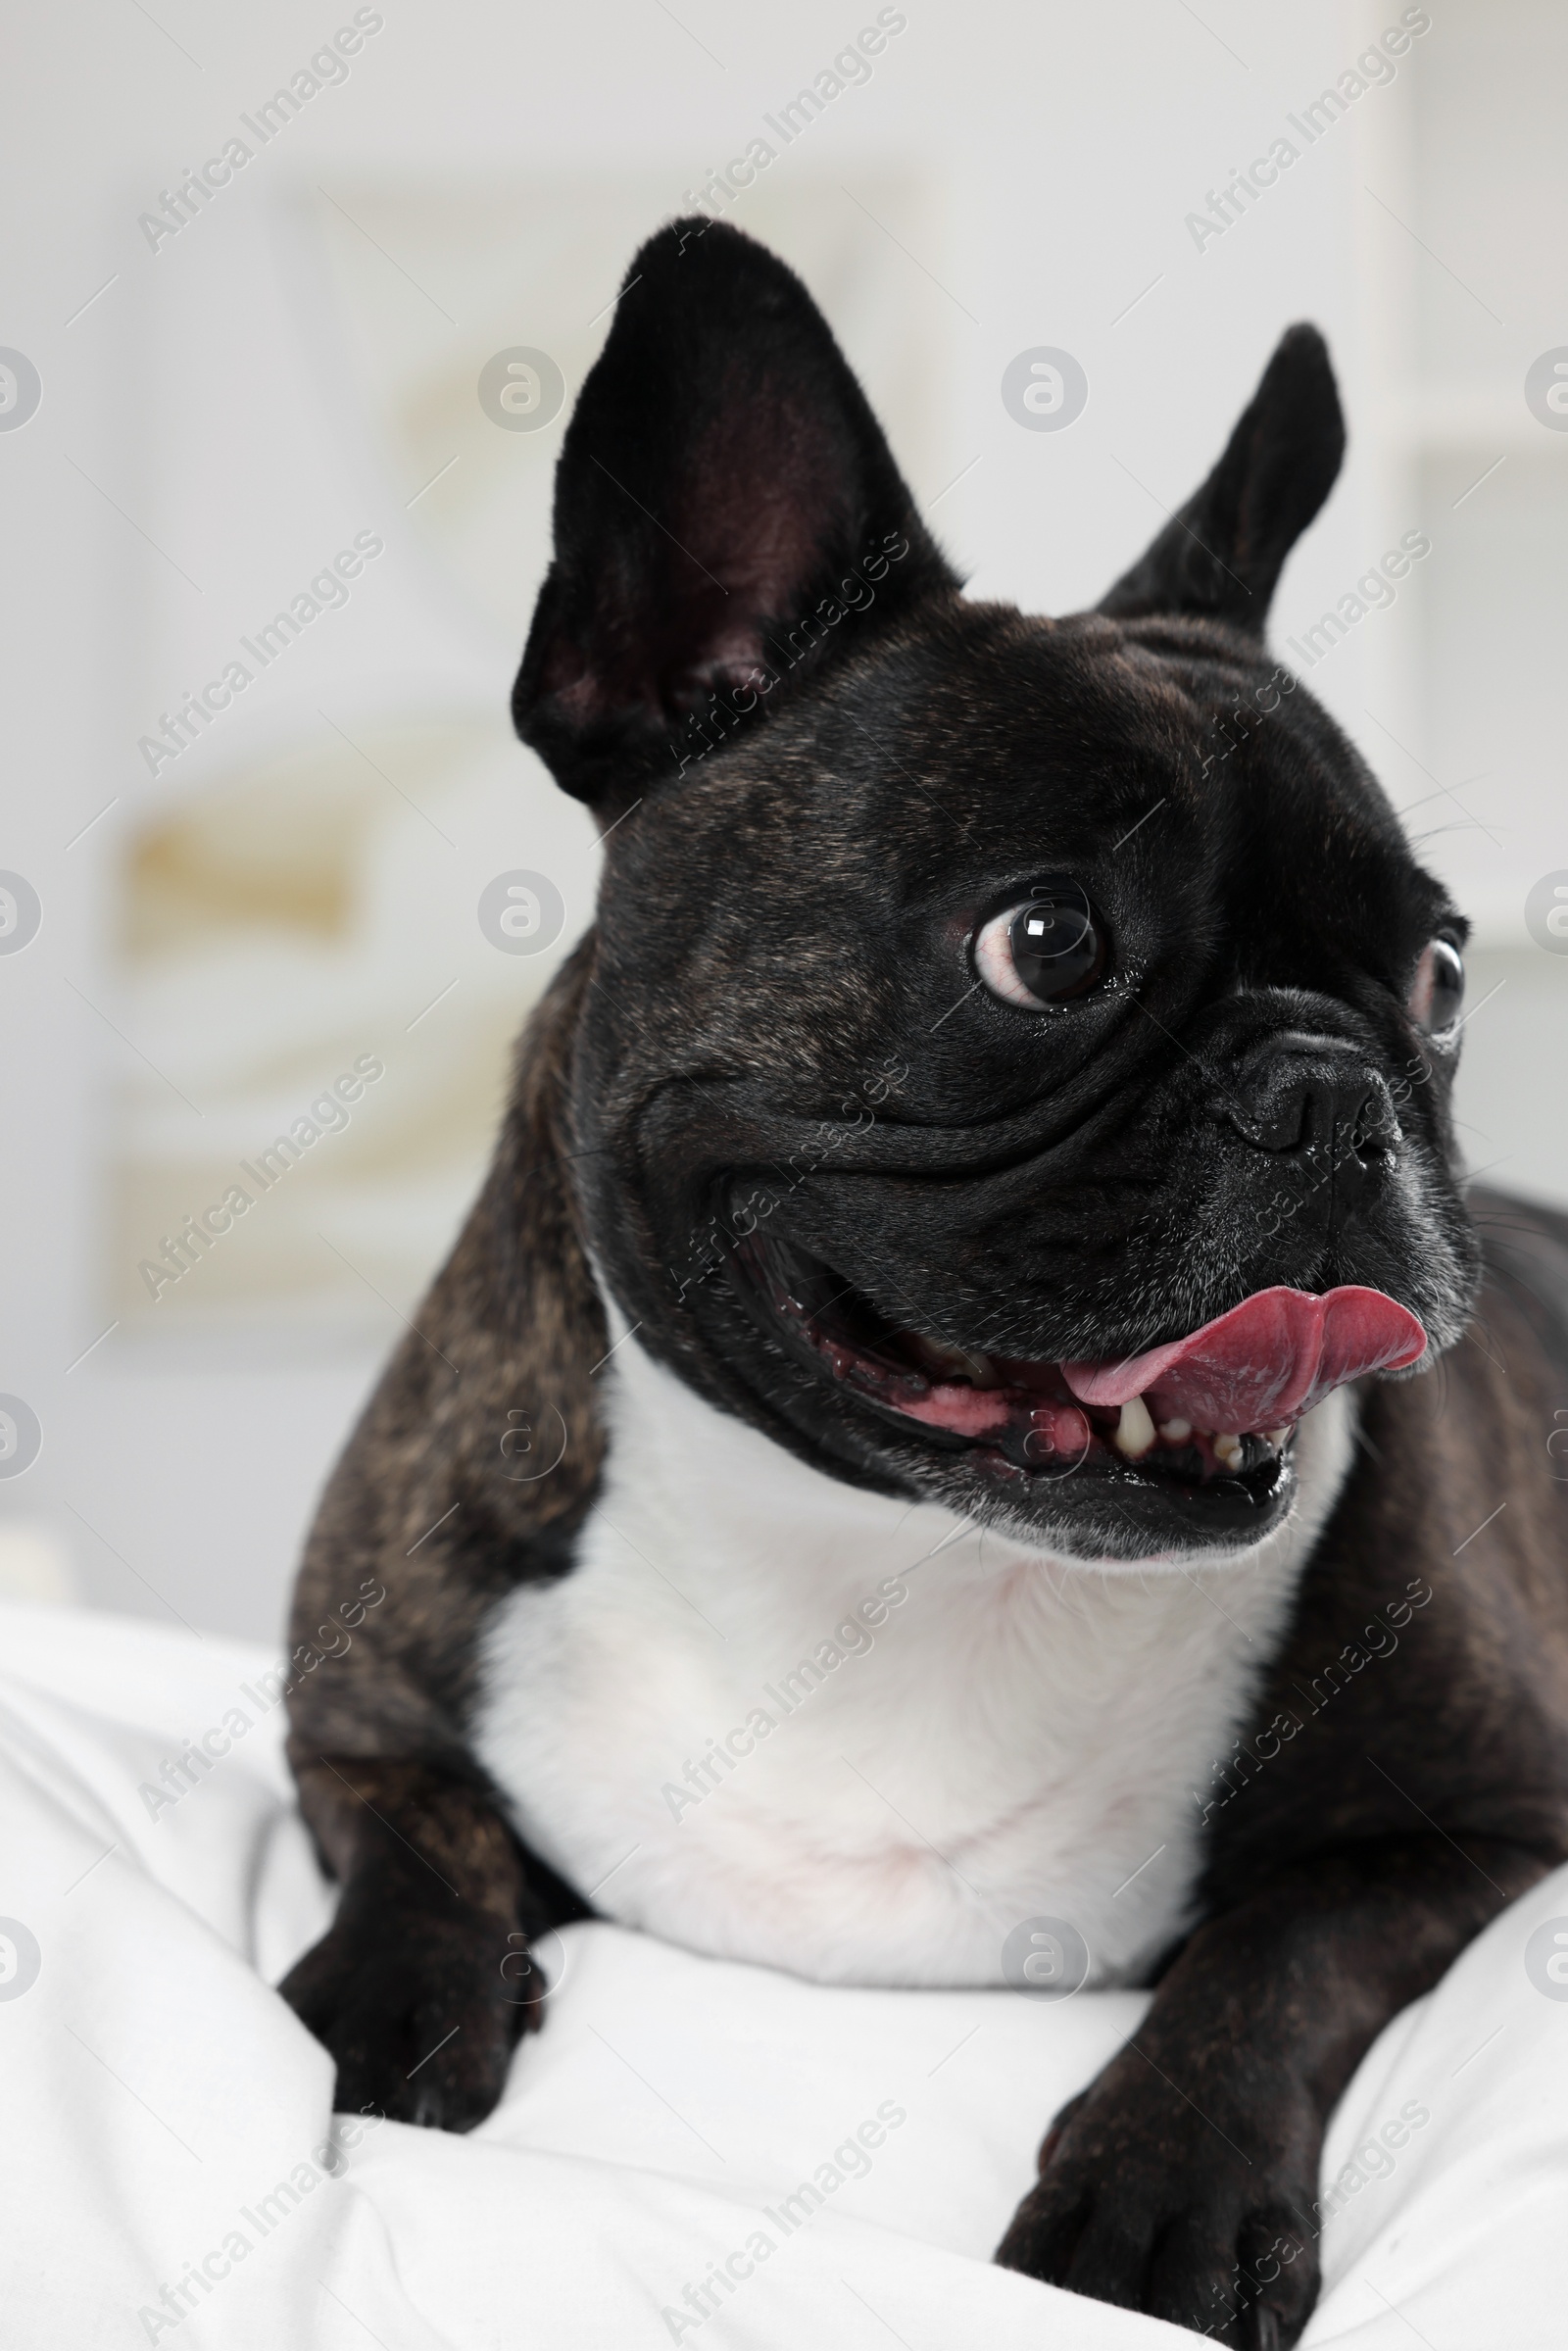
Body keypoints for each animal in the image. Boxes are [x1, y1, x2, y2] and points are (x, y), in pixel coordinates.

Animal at [278, 216, 1568, 2331]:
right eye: (1045, 943)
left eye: (1443, 970)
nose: (1332, 1090)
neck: (882, 1561)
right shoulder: (358, 1709)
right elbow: (419, 1842)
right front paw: (379, 2007)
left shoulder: (1479, 1816)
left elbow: (1269, 1954)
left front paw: (1161, 2189)